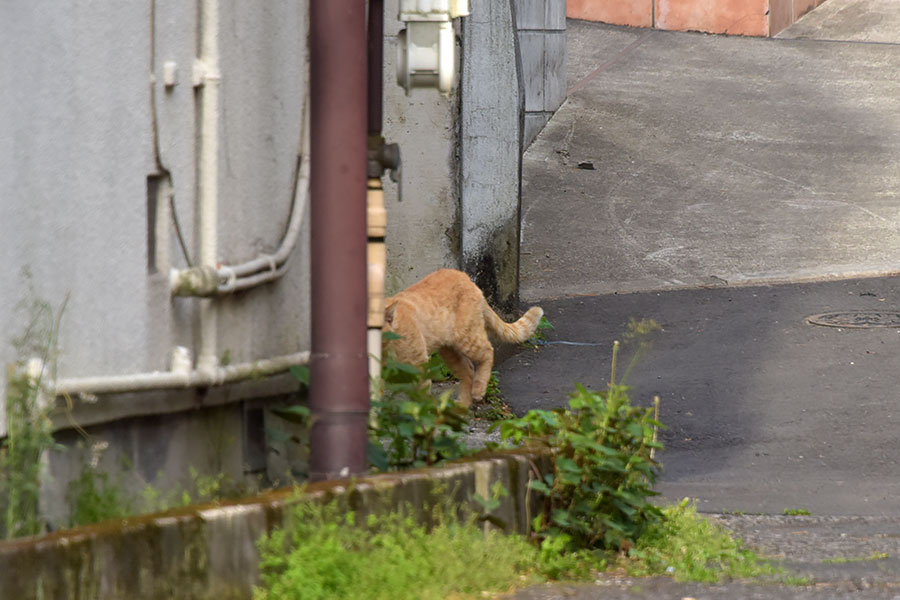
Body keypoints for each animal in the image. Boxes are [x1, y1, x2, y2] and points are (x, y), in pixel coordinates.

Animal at [384, 270, 544, 408]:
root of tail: (464, 276)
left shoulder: (417, 363)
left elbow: (421, 395)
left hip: (467, 338)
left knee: (488, 351)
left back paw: (478, 390)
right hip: (449, 350)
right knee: (468, 370)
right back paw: (462, 405)